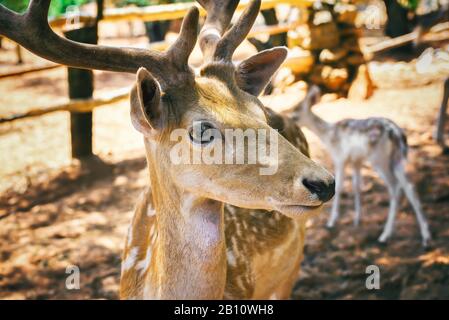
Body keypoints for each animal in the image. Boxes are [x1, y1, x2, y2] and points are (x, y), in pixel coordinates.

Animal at [290, 85, 430, 245]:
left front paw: (332, 221)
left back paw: (385, 235)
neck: (329, 137)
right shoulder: (356, 161)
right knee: (409, 186)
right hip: (398, 158)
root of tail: (397, 134)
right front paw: (357, 220)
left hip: (379, 159)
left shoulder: (340, 158)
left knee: (395, 188)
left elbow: (340, 186)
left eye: (296, 112)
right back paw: (425, 237)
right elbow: (357, 186)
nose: (288, 120)